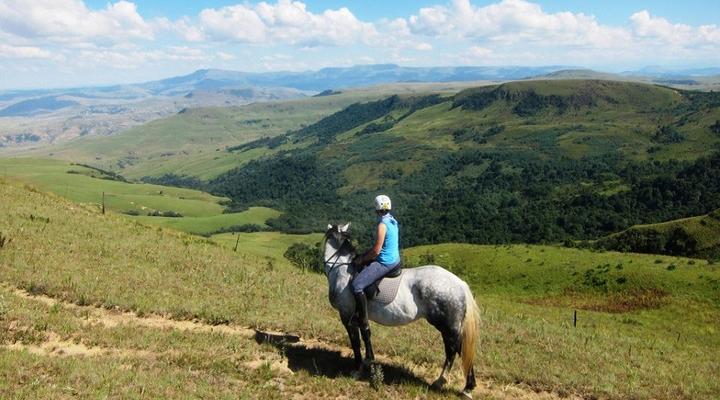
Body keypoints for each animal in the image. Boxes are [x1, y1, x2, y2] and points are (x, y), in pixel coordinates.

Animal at [323, 223, 480, 398]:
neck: (342, 272)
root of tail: (460, 283)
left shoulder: (346, 316)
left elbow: (356, 342)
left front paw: (358, 370)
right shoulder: (358, 318)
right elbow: (365, 335)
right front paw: (368, 363)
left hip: (448, 326)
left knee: (454, 350)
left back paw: (449, 383)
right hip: (449, 327)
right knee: (458, 350)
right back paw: (463, 386)